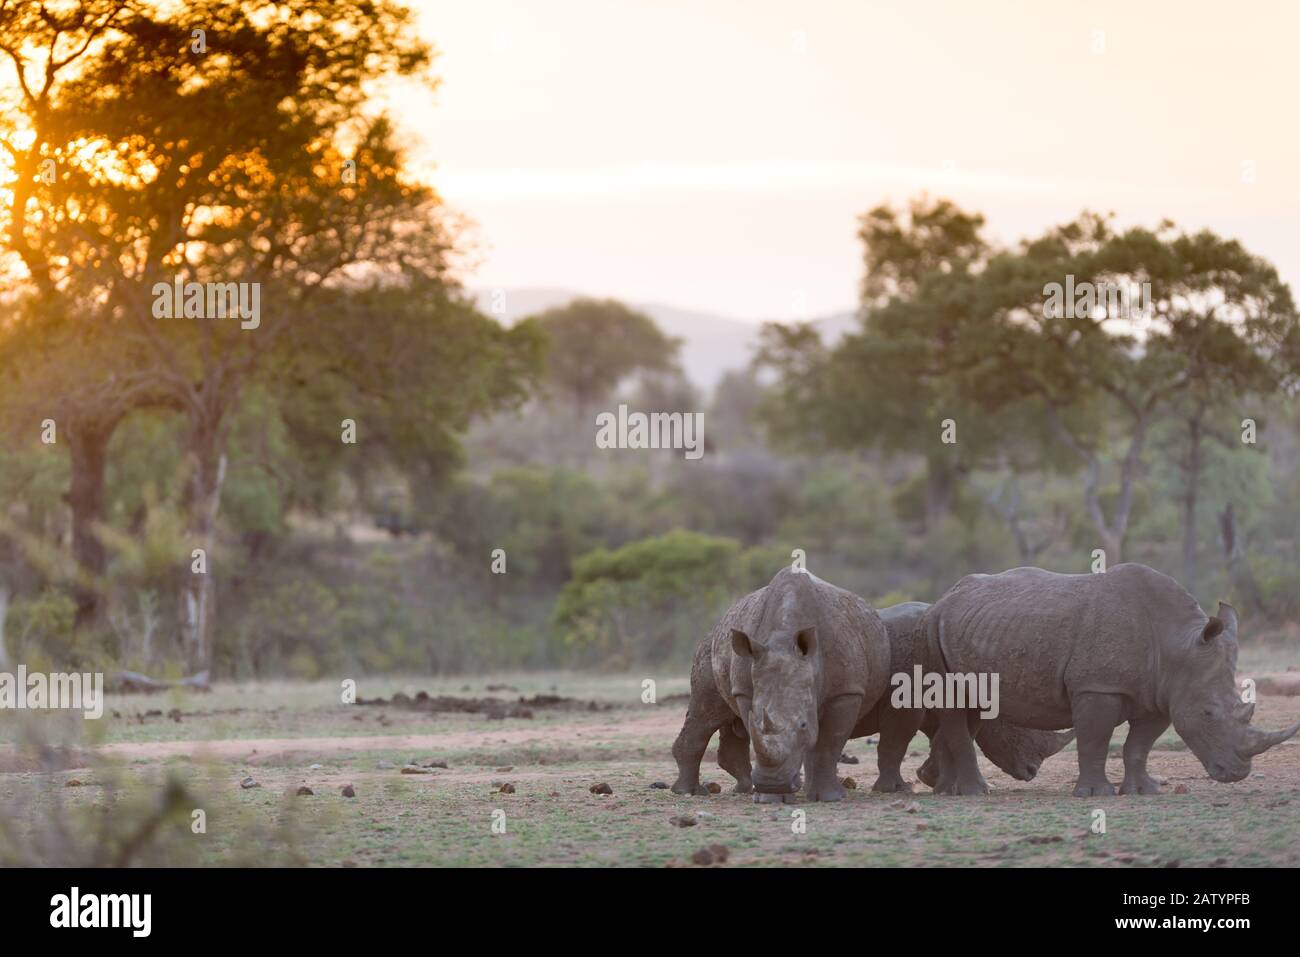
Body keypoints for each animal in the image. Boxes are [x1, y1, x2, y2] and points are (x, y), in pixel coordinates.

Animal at [670, 566, 894, 800]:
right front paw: (770, 797)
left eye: (803, 725)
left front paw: (829, 797)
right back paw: (692, 791)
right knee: (705, 715)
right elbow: (756, 728)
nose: (772, 784)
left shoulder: (846, 692)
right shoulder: (746, 691)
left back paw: (743, 788)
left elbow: (829, 742)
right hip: (710, 648)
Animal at [852, 598, 1076, 790]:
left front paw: (933, 780)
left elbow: (943, 739)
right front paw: (900, 788)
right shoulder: (906, 702)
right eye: (1015, 726)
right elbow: (895, 743)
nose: (1032, 771)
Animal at [925, 564, 1300, 795]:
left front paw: (1143, 791)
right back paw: (975, 793)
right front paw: (1094, 794)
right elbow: (1095, 739)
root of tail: (945, 596)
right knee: (954, 705)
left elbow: (1139, 745)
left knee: (973, 708)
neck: (1176, 645)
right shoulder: (1098, 686)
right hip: (933, 628)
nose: (1237, 774)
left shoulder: (1160, 694)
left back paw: (949, 790)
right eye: (1208, 713)